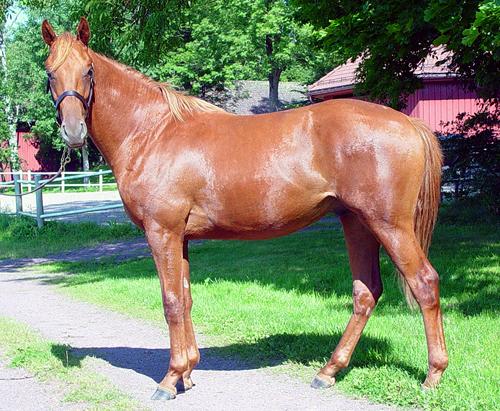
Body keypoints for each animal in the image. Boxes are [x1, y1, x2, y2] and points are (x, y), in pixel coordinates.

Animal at [41, 18, 448, 400]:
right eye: (49, 72)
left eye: (88, 70)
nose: (73, 131)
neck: (152, 132)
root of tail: (408, 122)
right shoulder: (181, 237)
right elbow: (185, 298)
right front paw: (187, 373)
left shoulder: (162, 232)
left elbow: (171, 301)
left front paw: (170, 379)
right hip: (356, 222)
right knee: (366, 292)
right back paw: (328, 371)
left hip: (390, 225)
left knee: (424, 283)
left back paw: (433, 376)